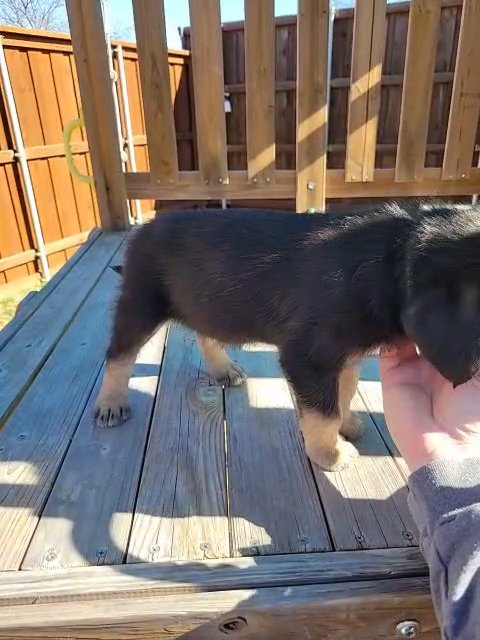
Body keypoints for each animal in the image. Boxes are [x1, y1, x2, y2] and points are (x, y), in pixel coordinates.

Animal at [94, 202, 480, 472]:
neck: (390, 261)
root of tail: (142, 230)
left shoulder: (344, 356)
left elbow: (343, 394)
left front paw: (348, 424)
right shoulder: (308, 357)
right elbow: (324, 414)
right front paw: (331, 455)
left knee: (206, 335)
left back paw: (224, 369)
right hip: (141, 301)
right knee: (119, 354)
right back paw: (111, 404)